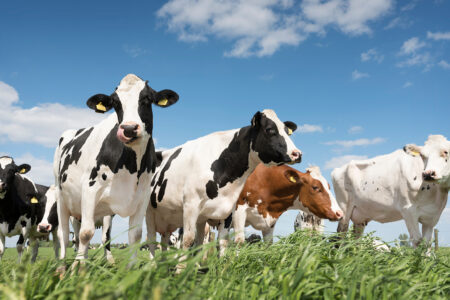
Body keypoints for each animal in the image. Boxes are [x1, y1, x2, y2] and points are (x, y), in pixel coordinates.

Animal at [54, 73, 178, 262]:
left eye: (147, 98)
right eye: (115, 103)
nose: (129, 128)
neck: (131, 167)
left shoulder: (142, 197)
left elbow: (135, 235)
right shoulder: (90, 189)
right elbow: (86, 233)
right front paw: (78, 268)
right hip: (62, 196)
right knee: (65, 235)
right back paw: (63, 263)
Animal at [148, 108, 302, 260]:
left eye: (287, 131)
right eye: (270, 130)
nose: (297, 154)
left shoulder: (228, 210)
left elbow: (222, 242)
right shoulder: (191, 205)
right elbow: (188, 240)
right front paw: (181, 267)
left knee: (170, 240)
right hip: (149, 211)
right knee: (151, 241)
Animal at [214, 165, 342, 254]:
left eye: (329, 187)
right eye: (315, 187)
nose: (339, 213)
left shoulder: (270, 221)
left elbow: (268, 244)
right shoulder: (239, 211)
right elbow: (239, 241)